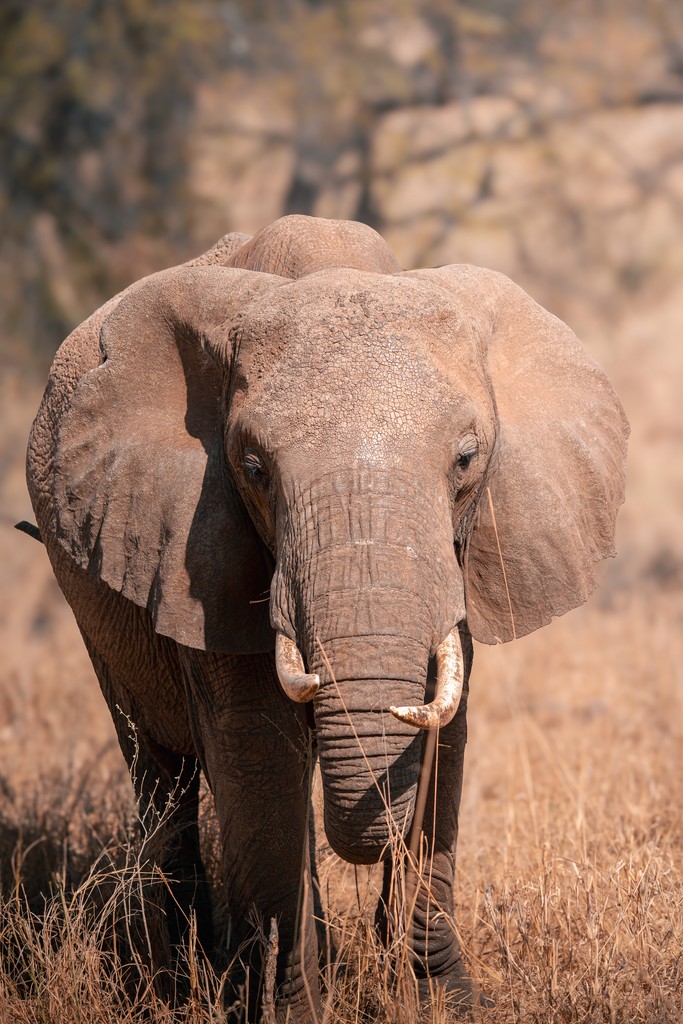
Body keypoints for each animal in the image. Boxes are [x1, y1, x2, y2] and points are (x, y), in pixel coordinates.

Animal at [25, 214, 628, 1020]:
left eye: (466, 459)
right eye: (253, 468)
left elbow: (442, 731)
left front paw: (441, 1001)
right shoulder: (199, 549)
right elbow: (258, 751)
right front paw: (292, 1007)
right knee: (160, 771)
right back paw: (178, 983)